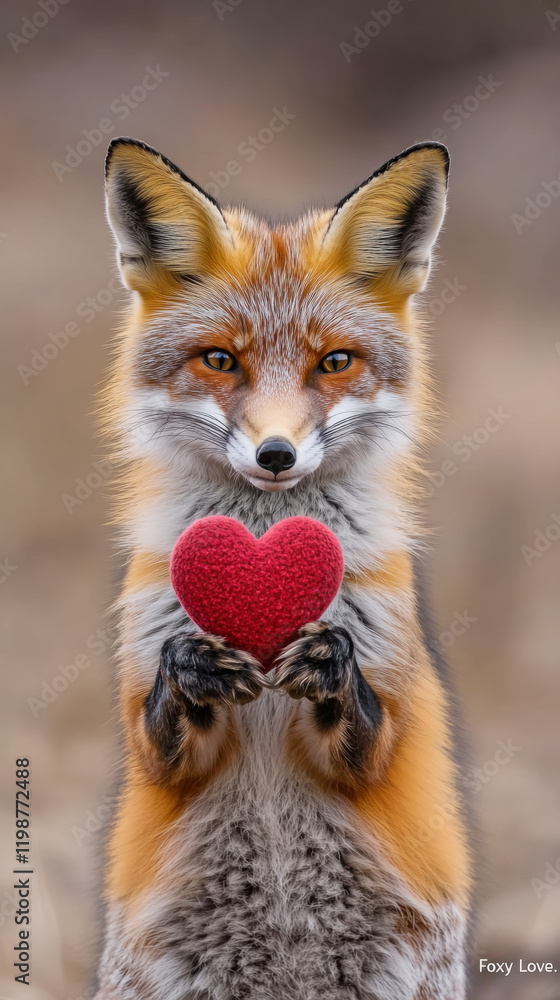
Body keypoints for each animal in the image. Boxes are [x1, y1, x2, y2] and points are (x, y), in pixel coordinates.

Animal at [95, 136, 472, 1000]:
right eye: (219, 360)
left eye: (334, 362)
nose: (276, 454)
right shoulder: (154, 737)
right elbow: (160, 733)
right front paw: (193, 666)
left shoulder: (384, 712)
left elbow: (369, 733)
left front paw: (329, 662)